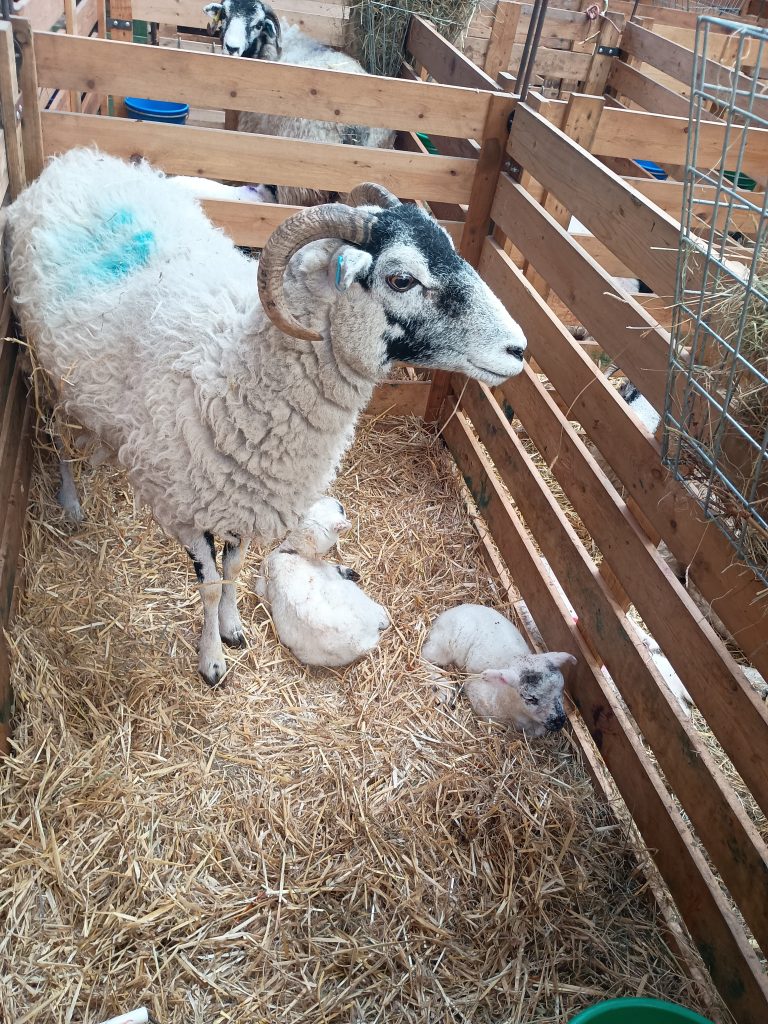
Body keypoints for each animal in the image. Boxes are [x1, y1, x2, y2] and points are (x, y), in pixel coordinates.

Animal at [255, 496, 389, 666]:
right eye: (341, 509)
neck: (294, 551)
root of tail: (358, 643)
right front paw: (348, 571)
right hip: (353, 595)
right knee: (382, 617)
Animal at [422, 604, 576, 735]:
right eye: (530, 698)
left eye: (561, 689)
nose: (559, 722)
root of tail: (444, 615)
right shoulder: (476, 691)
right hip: (443, 646)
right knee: (424, 657)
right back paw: (442, 686)